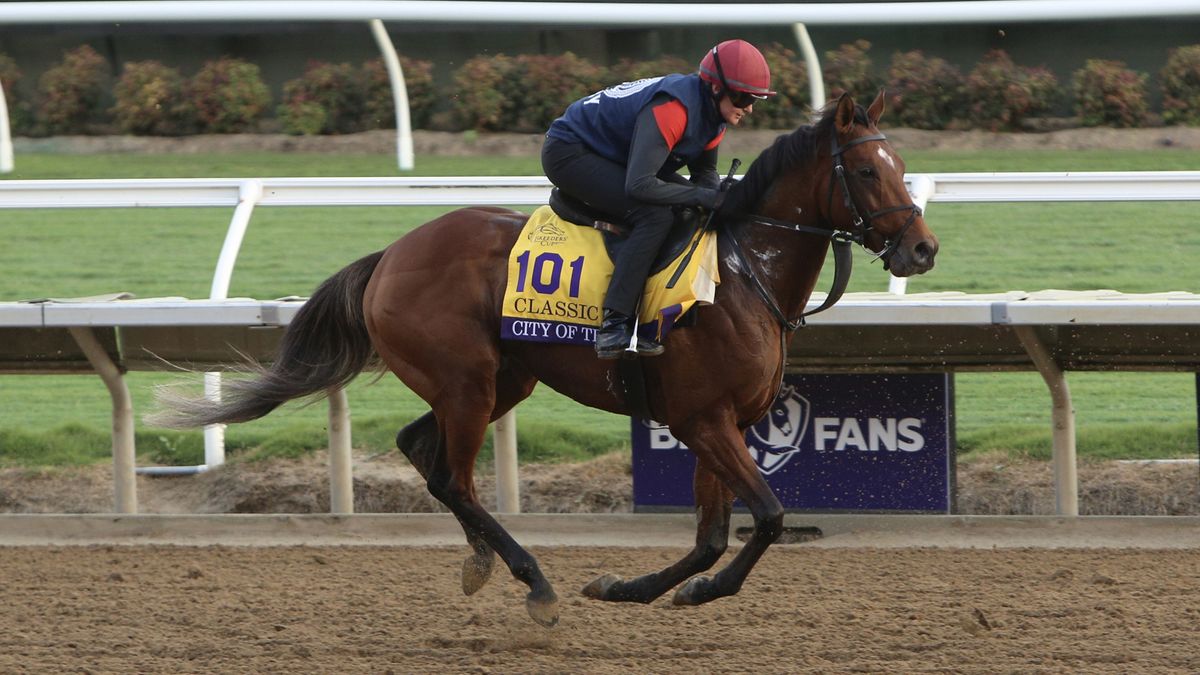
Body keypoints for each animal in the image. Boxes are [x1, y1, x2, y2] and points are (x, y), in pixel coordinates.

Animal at [154, 90, 936, 624]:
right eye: (868, 171)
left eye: (904, 165)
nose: (923, 249)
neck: (746, 274)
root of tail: (390, 255)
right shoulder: (702, 420)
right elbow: (765, 518)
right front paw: (693, 589)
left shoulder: (728, 423)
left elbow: (713, 534)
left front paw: (634, 586)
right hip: (467, 381)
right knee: (454, 478)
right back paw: (532, 581)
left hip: (504, 379)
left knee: (421, 449)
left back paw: (480, 558)